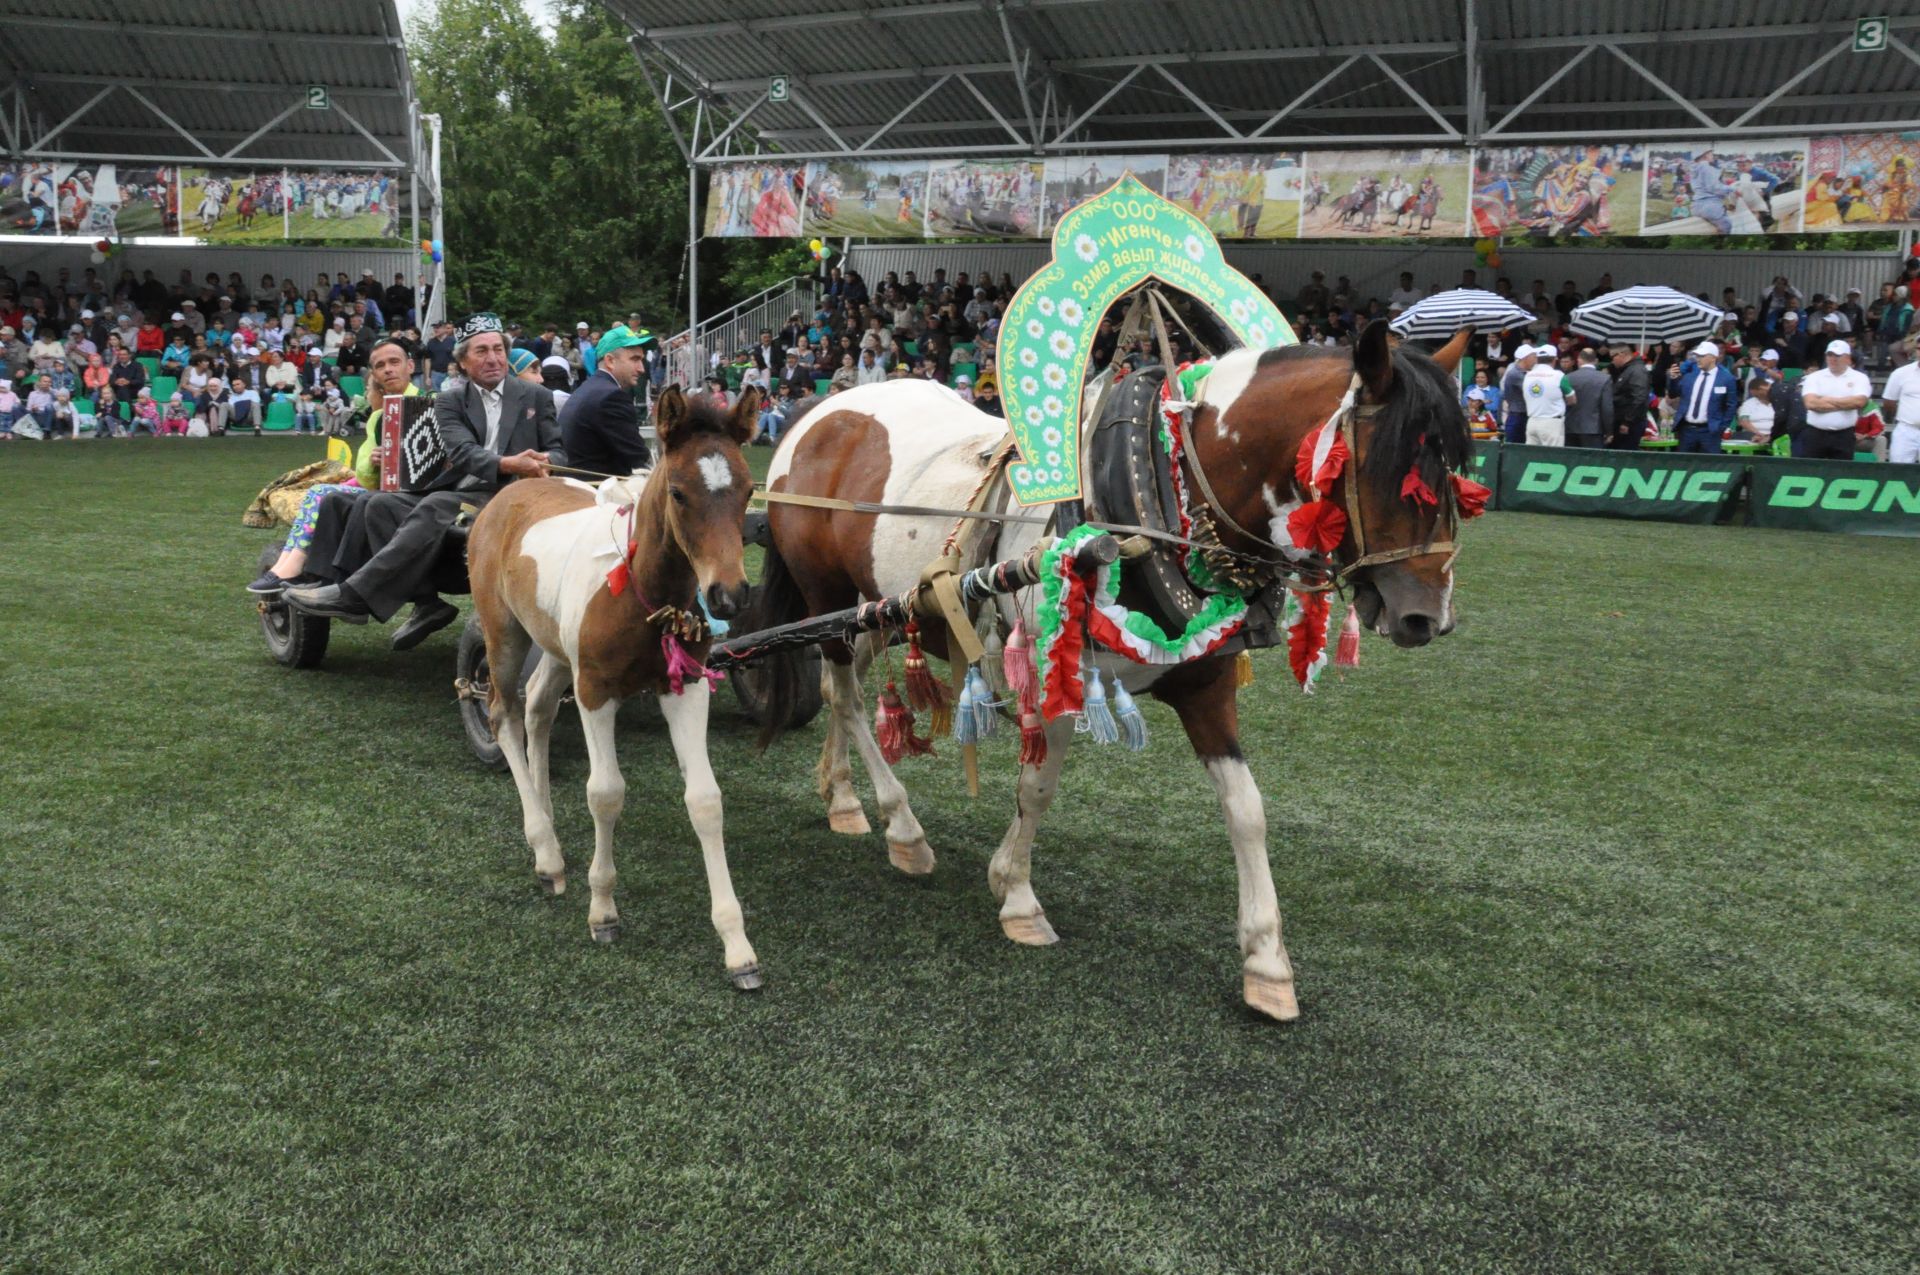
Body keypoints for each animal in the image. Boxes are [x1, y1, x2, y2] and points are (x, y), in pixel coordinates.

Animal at [464, 387, 764, 983]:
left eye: (746, 490)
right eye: (678, 492)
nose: (729, 596)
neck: (644, 597)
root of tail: (512, 489)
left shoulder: (685, 686)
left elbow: (705, 800)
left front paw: (736, 945)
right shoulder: (595, 691)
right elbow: (605, 793)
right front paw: (602, 910)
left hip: (557, 648)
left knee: (537, 707)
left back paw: (550, 834)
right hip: (503, 633)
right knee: (503, 713)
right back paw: (544, 848)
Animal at [744, 324, 1466, 1021]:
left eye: (1457, 474)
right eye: (1388, 467)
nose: (1427, 617)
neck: (1159, 507)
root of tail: (819, 412)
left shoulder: (1206, 684)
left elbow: (1247, 810)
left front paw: (1267, 962)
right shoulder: (1053, 672)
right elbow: (1037, 788)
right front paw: (1018, 896)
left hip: (877, 611)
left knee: (840, 689)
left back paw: (841, 796)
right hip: (826, 593)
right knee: (846, 695)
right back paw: (902, 826)